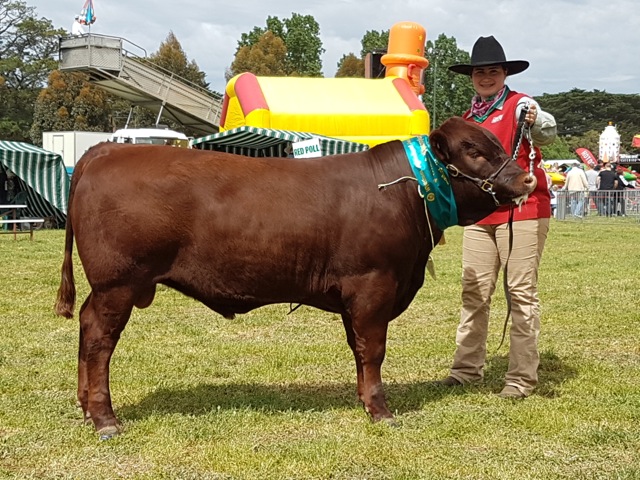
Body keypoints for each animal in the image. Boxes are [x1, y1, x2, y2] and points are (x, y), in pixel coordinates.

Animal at [55, 117, 536, 438]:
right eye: (475, 151)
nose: (528, 179)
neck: (405, 190)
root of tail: (104, 150)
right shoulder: (373, 284)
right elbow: (373, 350)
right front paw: (381, 410)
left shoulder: (354, 294)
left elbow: (359, 351)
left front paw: (364, 400)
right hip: (118, 284)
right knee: (99, 340)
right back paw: (105, 418)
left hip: (107, 288)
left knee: (85, 327)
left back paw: (85, 408)